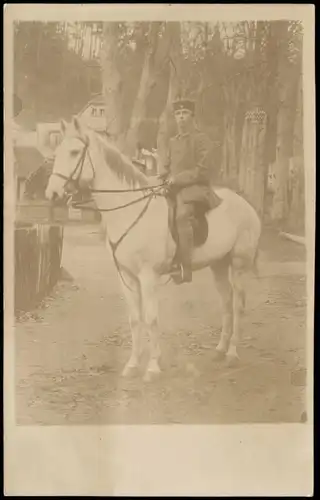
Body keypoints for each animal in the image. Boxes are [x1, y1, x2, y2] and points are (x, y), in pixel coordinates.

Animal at [45, 118, 262, 382]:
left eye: (75, 152)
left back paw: (232, 353)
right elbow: (135, 319)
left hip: (239, 265)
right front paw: (132, 364)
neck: (128, 210)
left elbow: (151, 318)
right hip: (219, 265)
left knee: (238, 305)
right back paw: (220, 350)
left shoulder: (147, 276)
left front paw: (152, 367)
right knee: (226, 302)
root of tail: (247, 206)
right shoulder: (126, 276)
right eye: (57, 152)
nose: (52, 193)